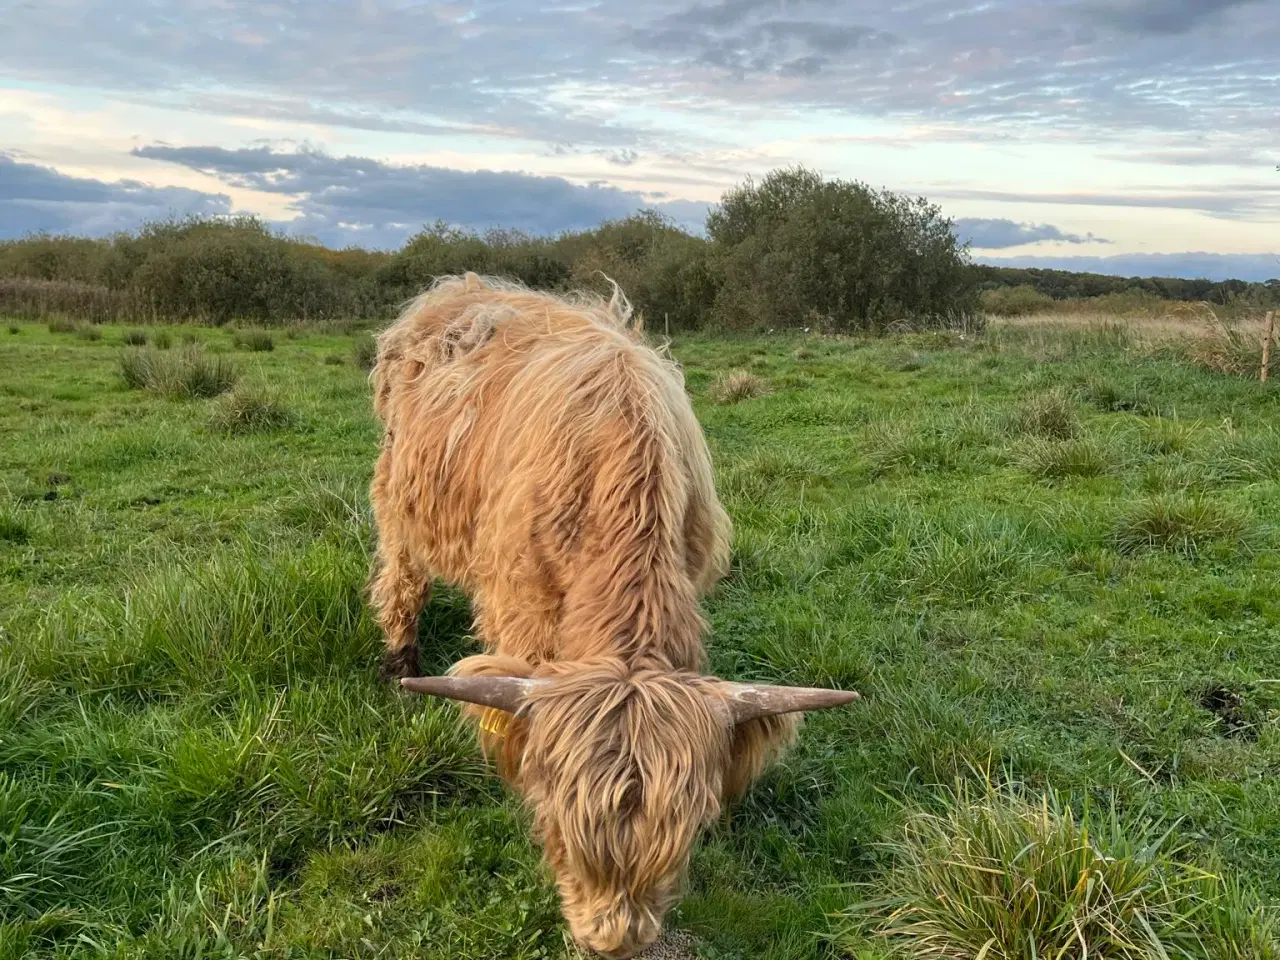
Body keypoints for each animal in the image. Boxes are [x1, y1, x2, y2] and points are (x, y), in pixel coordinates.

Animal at [366, 273, 855, 957]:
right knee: (401, 577)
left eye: (688, 837)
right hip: (400, 498)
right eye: (552, 827)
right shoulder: (521, 613)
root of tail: (459, 285)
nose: (611, 941)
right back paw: (400, 661)